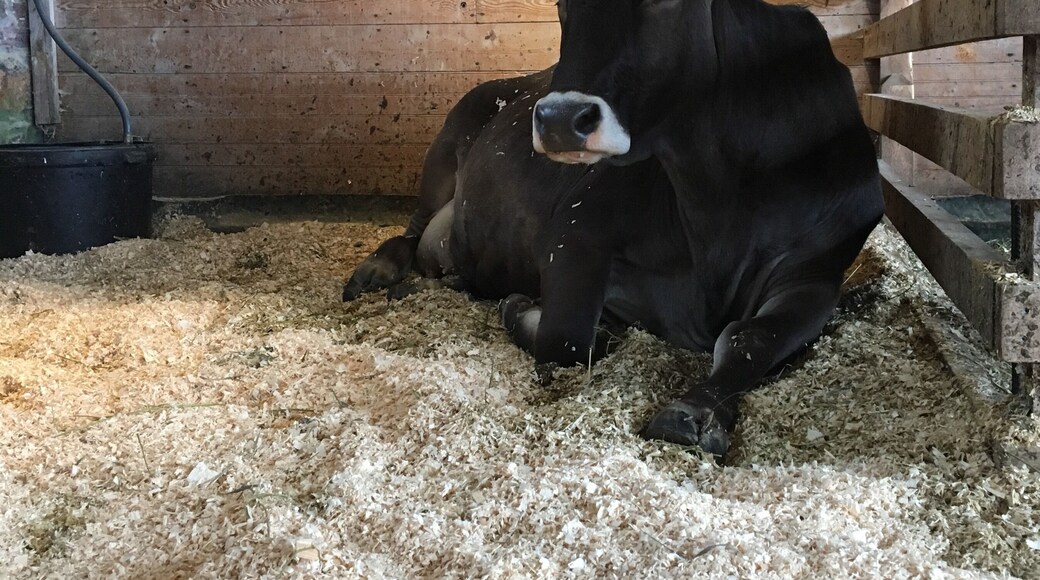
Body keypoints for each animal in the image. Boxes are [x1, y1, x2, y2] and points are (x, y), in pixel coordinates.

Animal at [343, 0, 884, 458]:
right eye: (562, 4)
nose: (557, 118)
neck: (715, 207)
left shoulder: (813, 276)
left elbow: (748, 340)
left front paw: (699, 411)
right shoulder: (576, 230)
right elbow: (567, 340)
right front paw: (526, 308)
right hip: (446, 147)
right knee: (411, 231)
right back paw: (376, 272)